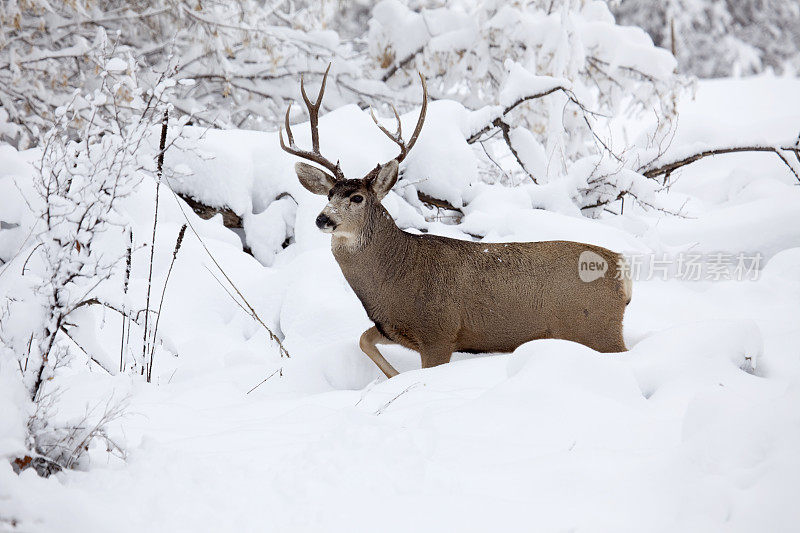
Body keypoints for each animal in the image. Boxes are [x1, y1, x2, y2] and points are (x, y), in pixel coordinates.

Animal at [280, 64, 632, 376]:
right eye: (329, 194)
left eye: (357, 198)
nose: (323, 219)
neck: (395, 277)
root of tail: (622, 271)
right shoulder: (394, 328)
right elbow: (363, 339)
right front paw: (393, 377)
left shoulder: (439, 331)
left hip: (598, 327)